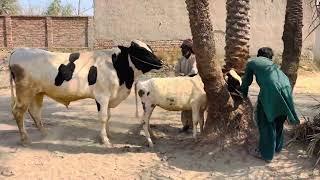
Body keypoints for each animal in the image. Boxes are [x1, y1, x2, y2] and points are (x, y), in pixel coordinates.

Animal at [8, 39, 164, 146]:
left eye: (150, 48)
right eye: (141, 51)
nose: (160, 63)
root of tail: (17, 51)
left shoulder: (109, 97)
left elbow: (108, 117)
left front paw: (108, 134)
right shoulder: (102, 96)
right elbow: (103, 117)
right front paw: (105, 140)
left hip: (37, 92)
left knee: (35, 112)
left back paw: (45, 134)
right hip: (24, 92)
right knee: (18, 112)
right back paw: (25, 139)